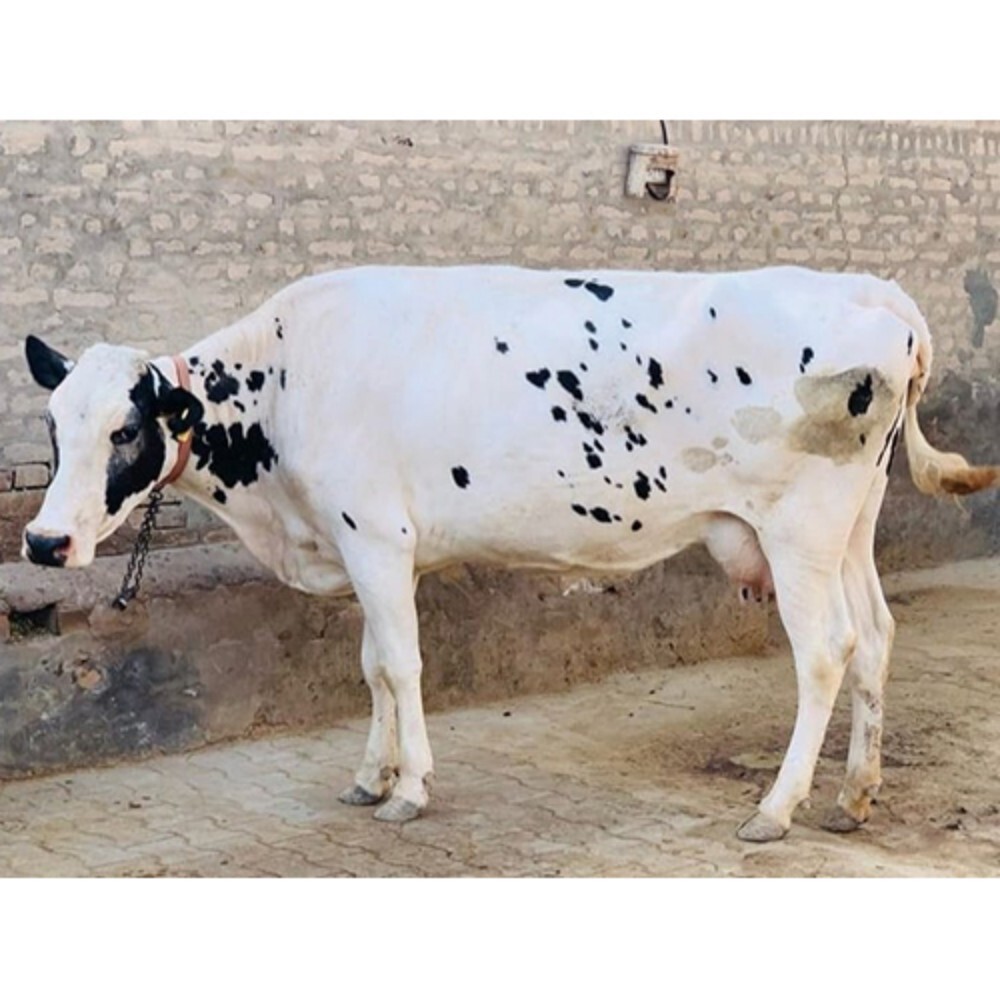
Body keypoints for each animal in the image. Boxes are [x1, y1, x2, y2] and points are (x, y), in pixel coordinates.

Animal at [21, 264, 999, 841]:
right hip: (850, 529)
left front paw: (410, 788)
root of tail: (876, 293)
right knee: (876, 637)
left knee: (827, 652)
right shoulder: (369, 547)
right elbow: (375, 667)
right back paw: (854, 795)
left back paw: (778, 806)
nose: (42, 539)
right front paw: (370, 776)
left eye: (126, 429)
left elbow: (403, 667)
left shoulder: (375, 536)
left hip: (799, 530)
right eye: (55, 425)